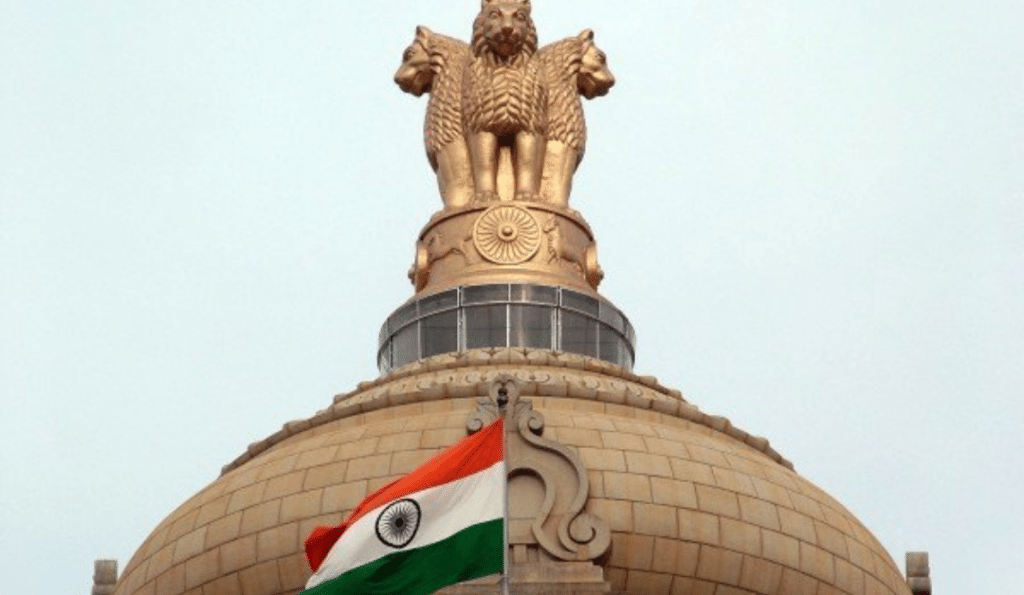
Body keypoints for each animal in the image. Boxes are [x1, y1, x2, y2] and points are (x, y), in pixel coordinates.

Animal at [462, 0, 544, 201]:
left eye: (519, 16)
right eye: (494, 14)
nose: (507, 29)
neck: (505, 64)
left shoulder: (529, 124)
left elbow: (527, 161)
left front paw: (527, 196)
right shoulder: (481, 124)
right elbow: (484, 162)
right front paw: (485, 197)